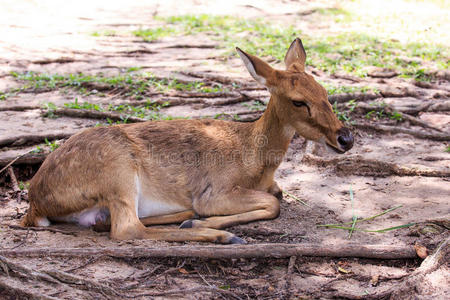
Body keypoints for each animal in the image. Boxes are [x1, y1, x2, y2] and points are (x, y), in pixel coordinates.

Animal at [21, 37, 354, 244]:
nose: (346, 138)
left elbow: (277, 196)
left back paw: (187, 218)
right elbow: (273, 204)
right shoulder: (214, 191)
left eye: (324, 91)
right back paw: (219, 235)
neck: (254, 160)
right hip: (118, 172)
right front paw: (210, 223)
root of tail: (36, 202)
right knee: (127, 229)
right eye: (298, 101)